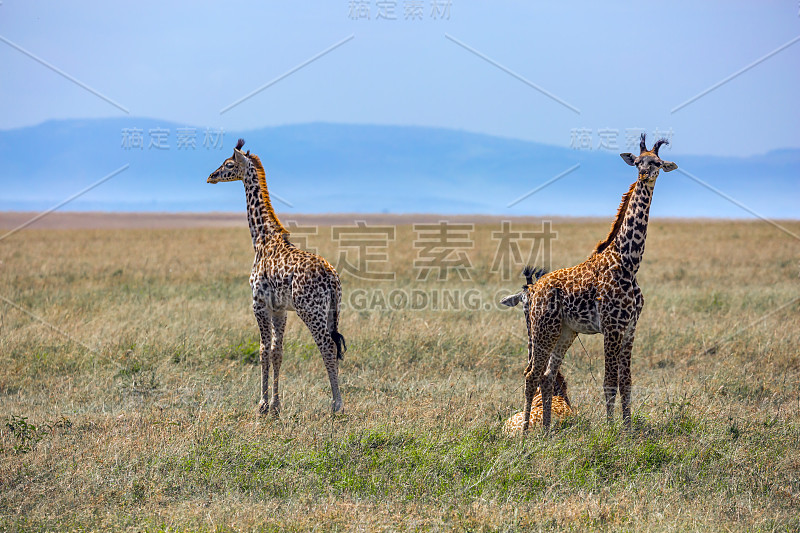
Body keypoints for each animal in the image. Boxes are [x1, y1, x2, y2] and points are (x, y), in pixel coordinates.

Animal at [205, 140, 346, 416]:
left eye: (228, 164)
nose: (211, 176)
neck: (261, 238)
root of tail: (331, 277)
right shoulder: (280, 309)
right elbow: (277, 351)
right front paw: (276, 405)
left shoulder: (258, 304)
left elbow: (262, 351)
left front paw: (261, 405)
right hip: (331, 310)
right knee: (334, 345)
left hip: (310, 310)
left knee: (327, 346)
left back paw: (336, 405)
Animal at [500, 135, 676, 430]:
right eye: (638, 162)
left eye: (657, 162)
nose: (644, 175)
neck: (628, 261)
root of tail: (534, 290)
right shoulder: (612, 327)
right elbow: (609, 382)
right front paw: (610, 430)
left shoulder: (630, 327)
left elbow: (627, 382)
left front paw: (628, 429)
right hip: (543, 329)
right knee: (531, 374)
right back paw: (525, 432)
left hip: (565, 332)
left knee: (547, 375)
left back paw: (547, 432)